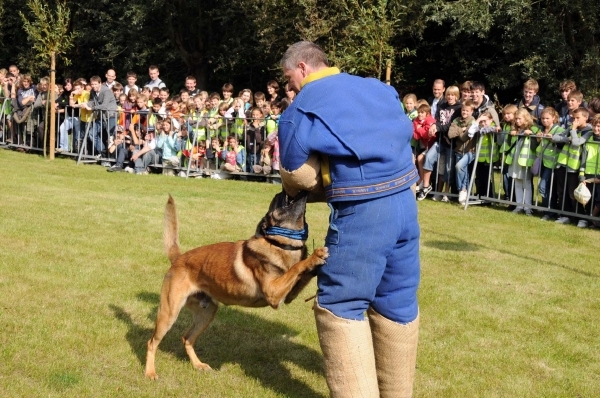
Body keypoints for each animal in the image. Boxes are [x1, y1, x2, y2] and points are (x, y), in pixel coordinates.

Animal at [144, 192, 328, 380]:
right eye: (276, 204)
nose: (280, 192)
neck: (278, 244)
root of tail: (178, 258)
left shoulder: (289, 294)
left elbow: (302, 272)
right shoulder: (273, 293)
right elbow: (297, 267)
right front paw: (314, 256)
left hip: (206, 314)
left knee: (186, 338)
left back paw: (198, 365)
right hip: (169, 313)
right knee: (151, 342)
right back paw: (150, 372)